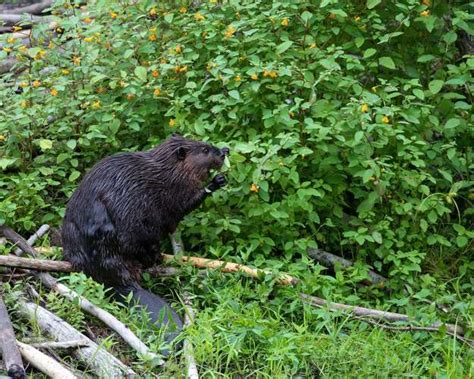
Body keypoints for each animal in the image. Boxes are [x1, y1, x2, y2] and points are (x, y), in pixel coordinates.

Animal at [60, 134, 231, 354]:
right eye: (205, 150)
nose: (224, 151)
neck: (165, 169)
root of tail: (122, 284)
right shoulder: (175, 188)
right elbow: (184, 204)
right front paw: (217, 181)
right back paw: (157, 258)